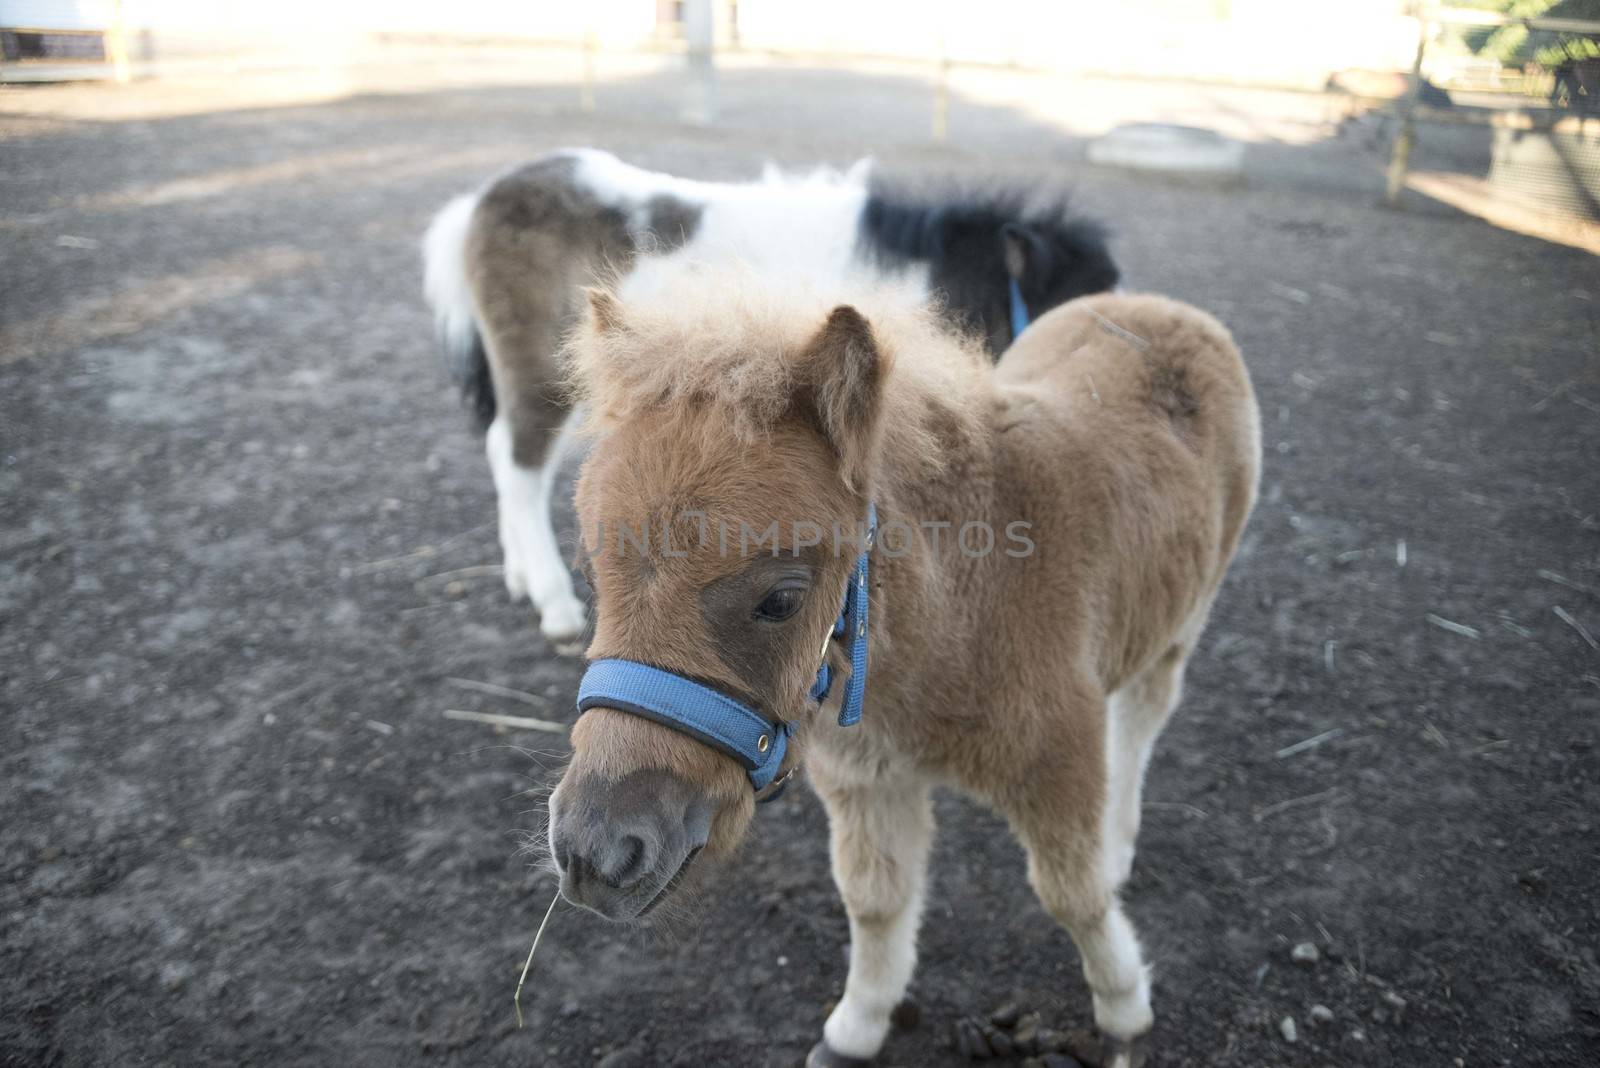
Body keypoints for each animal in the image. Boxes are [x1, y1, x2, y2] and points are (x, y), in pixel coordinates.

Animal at [425, 147, 1126, 645]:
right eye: (1070, 311)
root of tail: (479, 204)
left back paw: (520, 577)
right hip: (539, 366)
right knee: (521, 462)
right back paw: (554, 603)